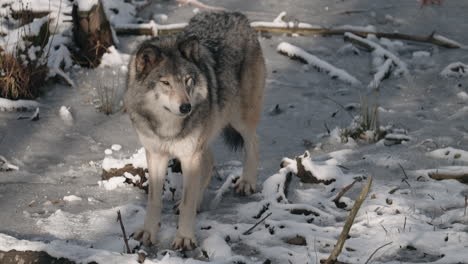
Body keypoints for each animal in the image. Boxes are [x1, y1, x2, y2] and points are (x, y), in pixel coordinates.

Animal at [123, 11, 264, 251]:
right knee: (208, 163)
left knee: (254, 143)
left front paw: (185, 238)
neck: (168, 127)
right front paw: (148, 233)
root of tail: (236, 15)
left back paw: (246, 183)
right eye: (165, 83)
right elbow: (154, 200)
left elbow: (188, 203)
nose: (186, 107)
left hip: (239, 119)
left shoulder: (189, 154)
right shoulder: (157, 154)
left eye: (188, 80)